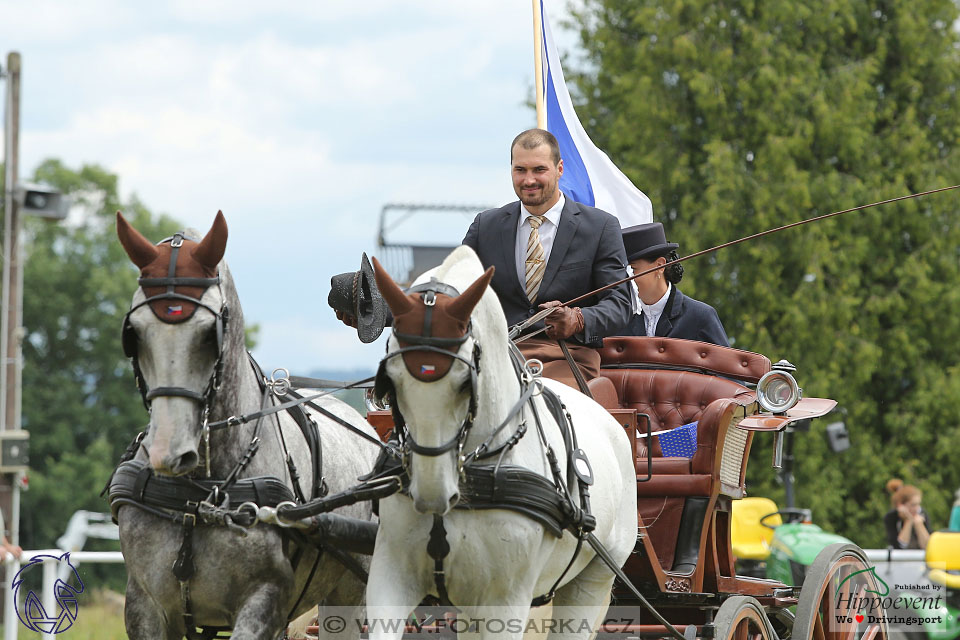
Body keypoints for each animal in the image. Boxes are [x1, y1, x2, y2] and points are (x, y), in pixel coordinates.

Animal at [114, 212, 380, 636]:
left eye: (210, 334)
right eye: (134, 333)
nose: (168, 453)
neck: (199, 495)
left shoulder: (264, 598)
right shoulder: (143, 605)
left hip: (353, 592)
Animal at [366, 246, 636, 640]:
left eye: (465, 382)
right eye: (392, 380)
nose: (432, 494)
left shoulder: (507, 599)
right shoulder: (390, 578)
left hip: (592, 582)